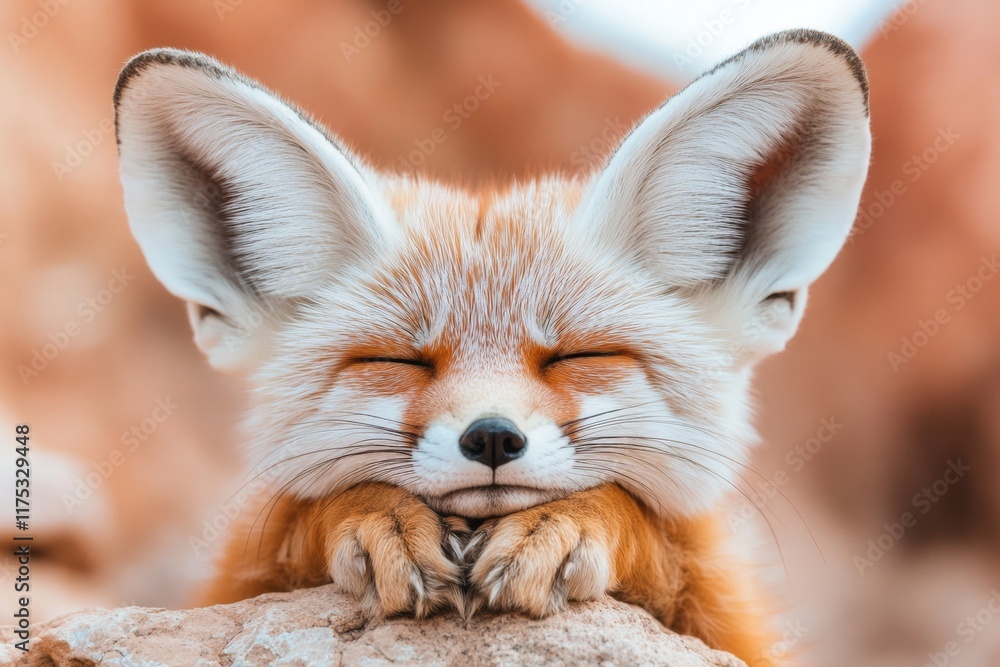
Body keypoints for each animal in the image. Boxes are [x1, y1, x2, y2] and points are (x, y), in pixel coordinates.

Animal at [112, 29, 870, 663]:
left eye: (579, 356)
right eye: (396, 361)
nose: (493, 438)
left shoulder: (732, 620)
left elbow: (653, 528)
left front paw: (565, 521)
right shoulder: (228, 584)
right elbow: (301, 513)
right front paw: (378, 514)